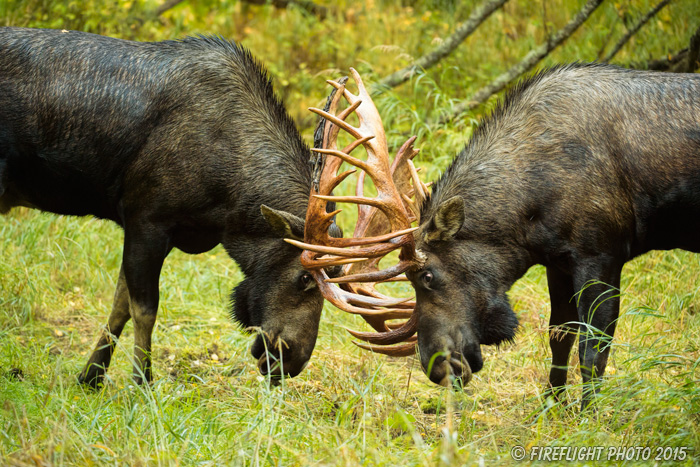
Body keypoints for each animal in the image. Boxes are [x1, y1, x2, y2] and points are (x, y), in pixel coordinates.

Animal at [0, 28, 340, 388]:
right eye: (304, 277)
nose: (291, 360)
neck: (227, 210)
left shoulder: (151, 232)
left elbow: (120, 304)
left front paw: (92, 375)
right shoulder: (146, 220)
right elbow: (145, 309)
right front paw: (142, 381)